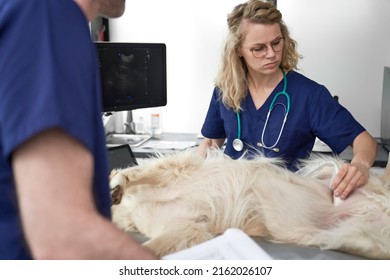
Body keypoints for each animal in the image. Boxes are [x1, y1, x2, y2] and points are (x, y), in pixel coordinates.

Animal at [109, 150, 390, 260]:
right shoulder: (184, 228)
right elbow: (147, 248)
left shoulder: (178, 167)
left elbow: (135, 171)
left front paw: (117, 185)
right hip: (354, 238)